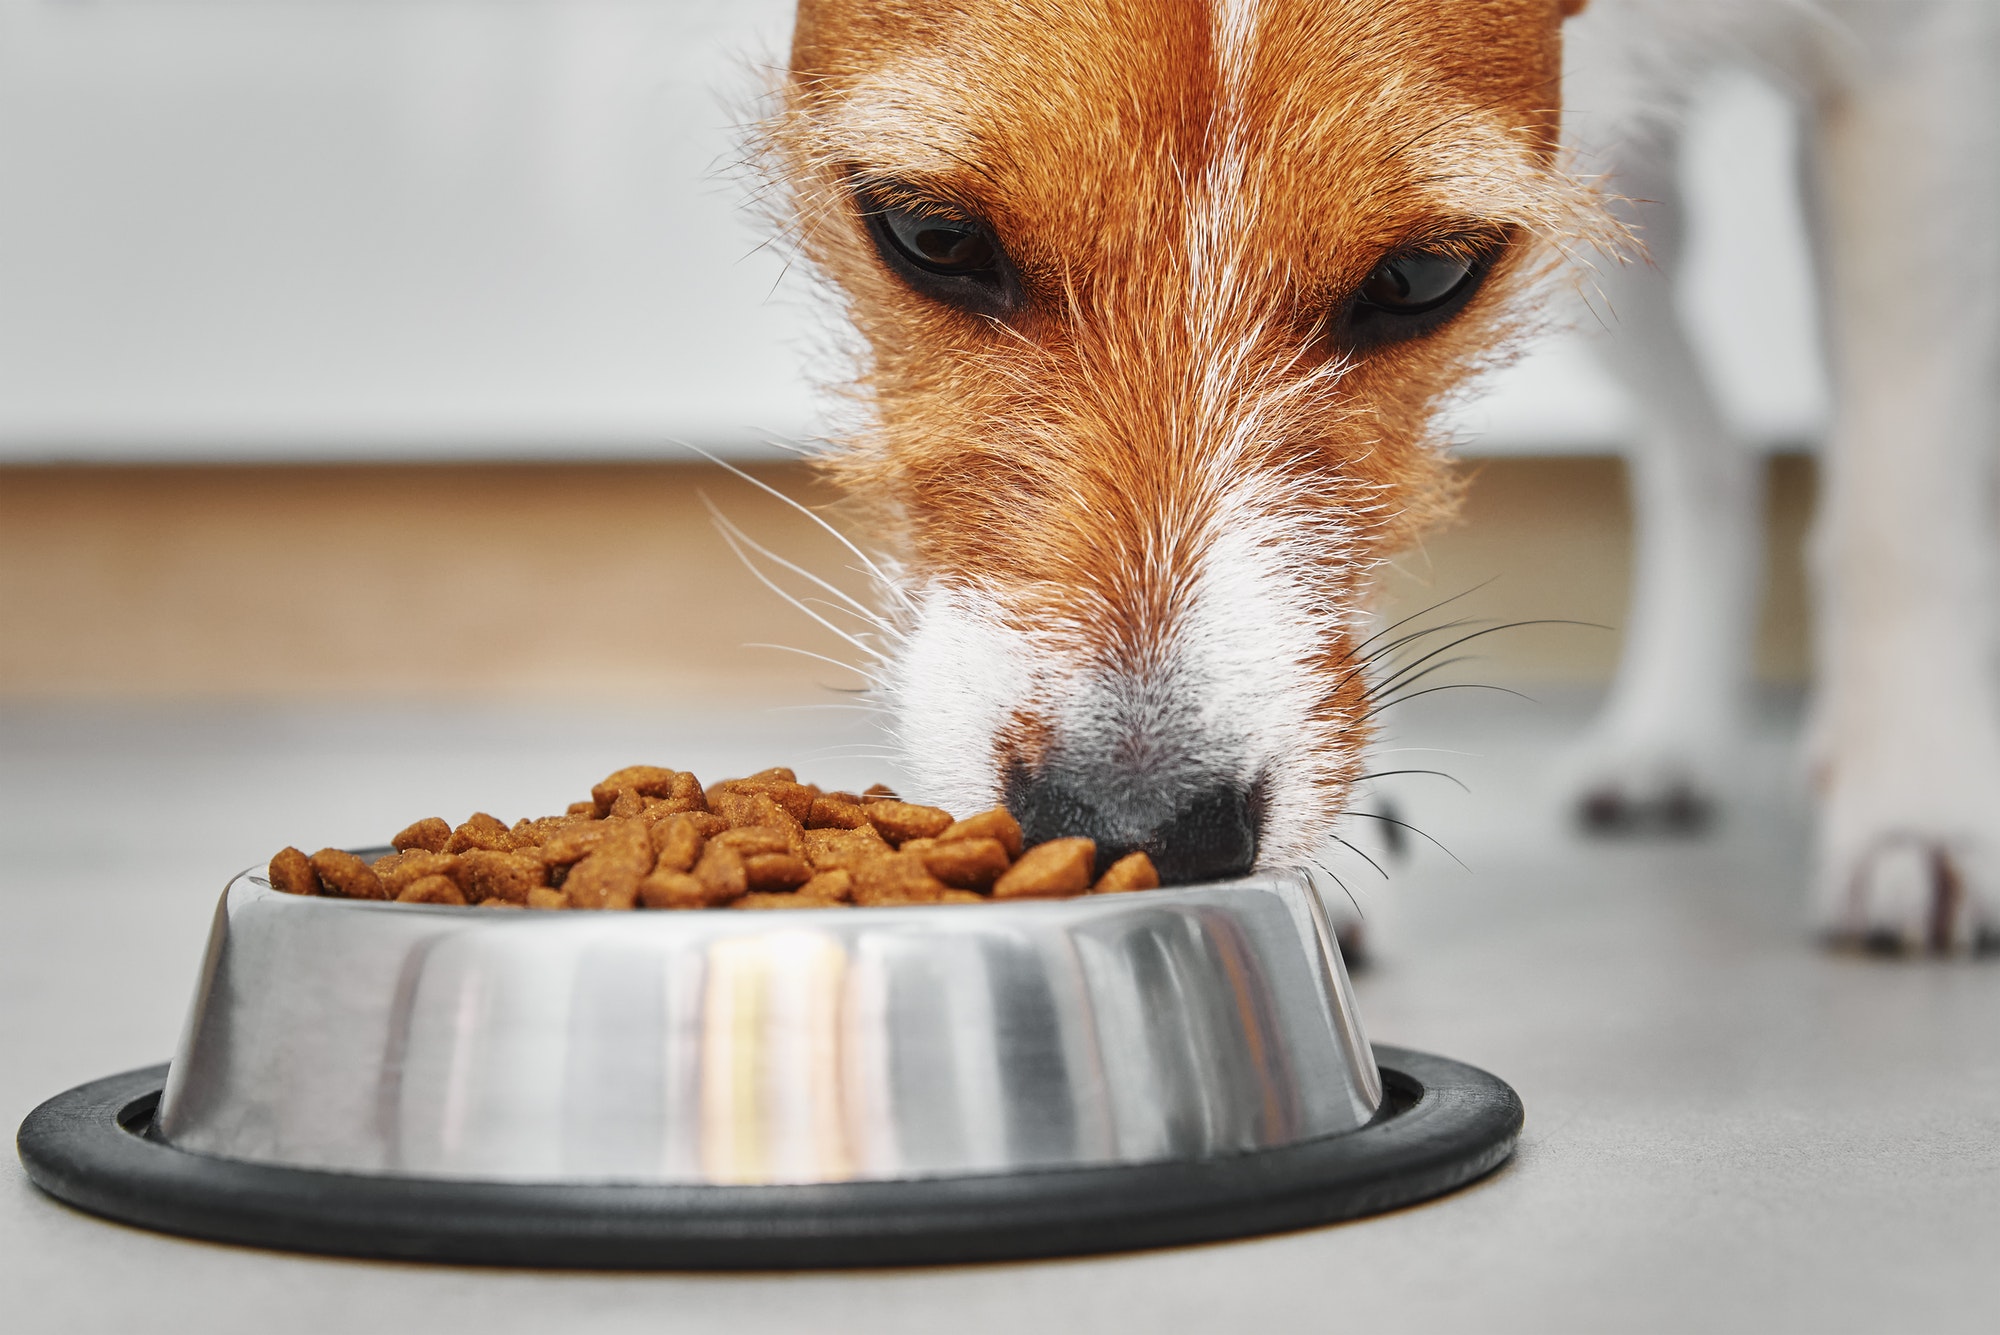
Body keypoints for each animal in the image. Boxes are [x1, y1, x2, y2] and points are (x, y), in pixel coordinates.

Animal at [756, 2, 1992, 947]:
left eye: (1422, 277)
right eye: (929, 235)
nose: (1134, 825)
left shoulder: (1917, 76)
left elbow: (1900, 510)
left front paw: (1914, 804)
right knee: (1708, 451)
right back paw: (1666, 737)